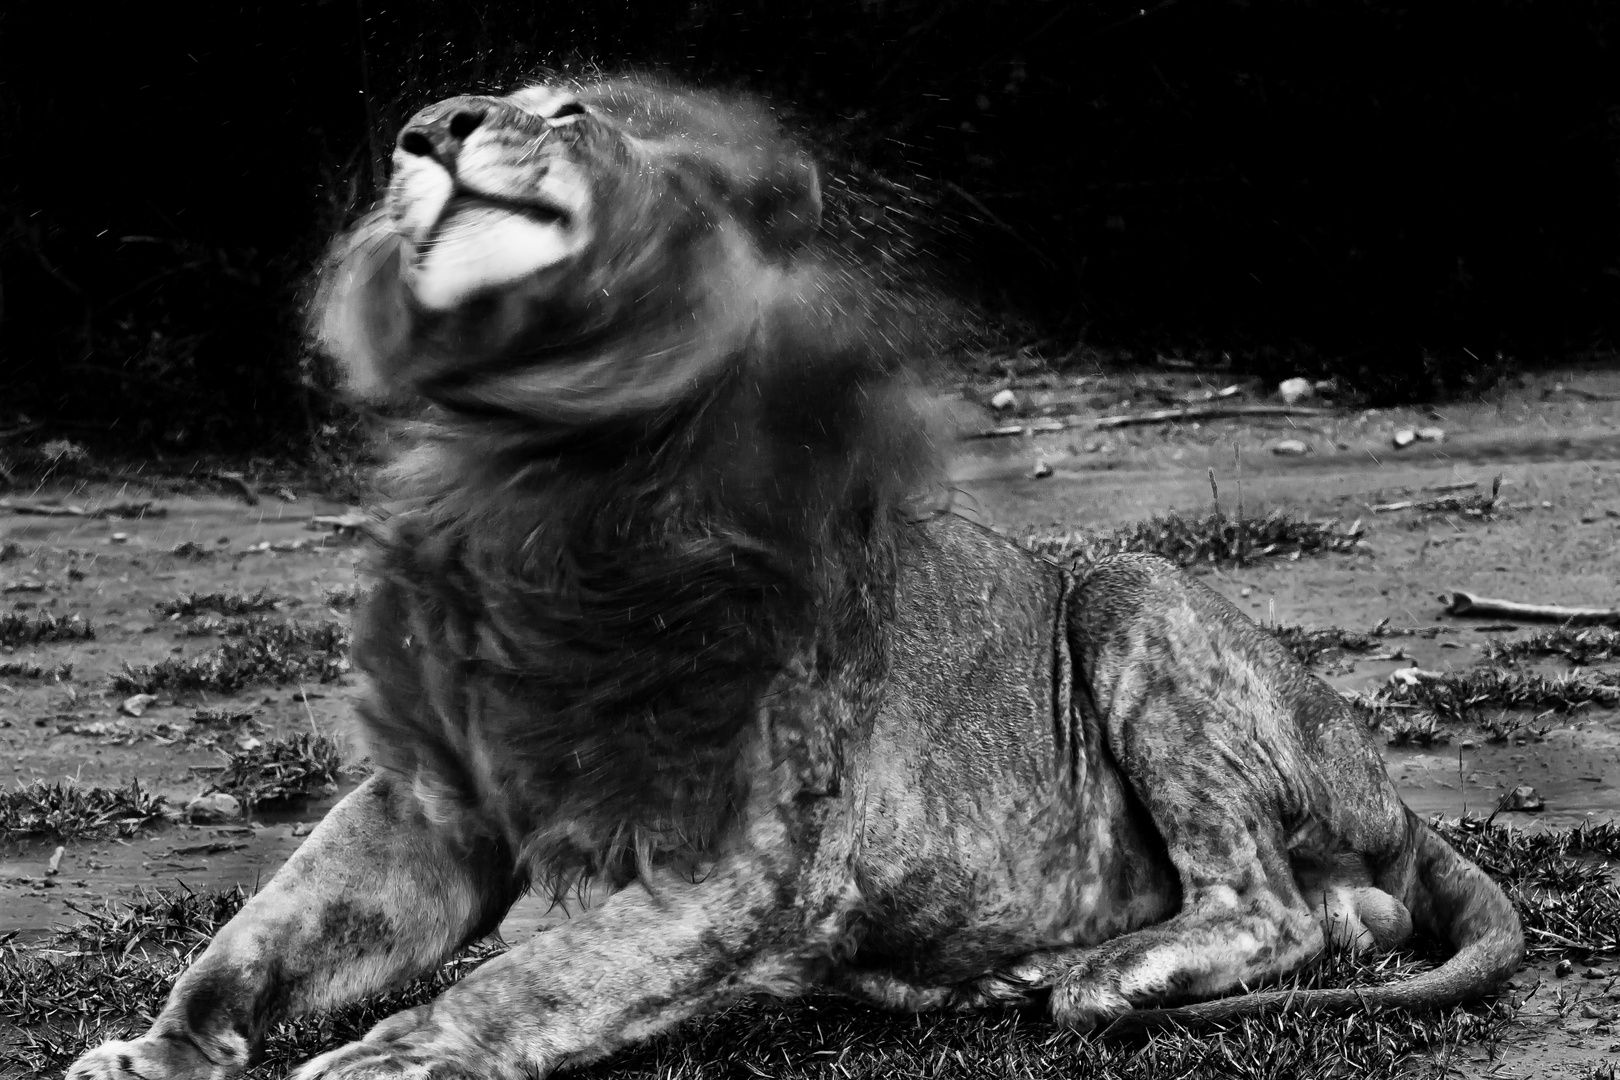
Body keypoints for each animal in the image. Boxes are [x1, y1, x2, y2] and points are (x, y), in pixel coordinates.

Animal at [69, 76, 1522, 1080]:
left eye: (570, 108)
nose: (432, 128)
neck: (545, 484)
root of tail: (1394, 794)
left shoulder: (741, 862)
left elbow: (525, 983)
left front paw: (396, 1055)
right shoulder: (432, 801)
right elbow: (262, 933)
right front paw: (161, 1049)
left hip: (1132, 590)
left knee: (1281, 908)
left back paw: (1098, 972)